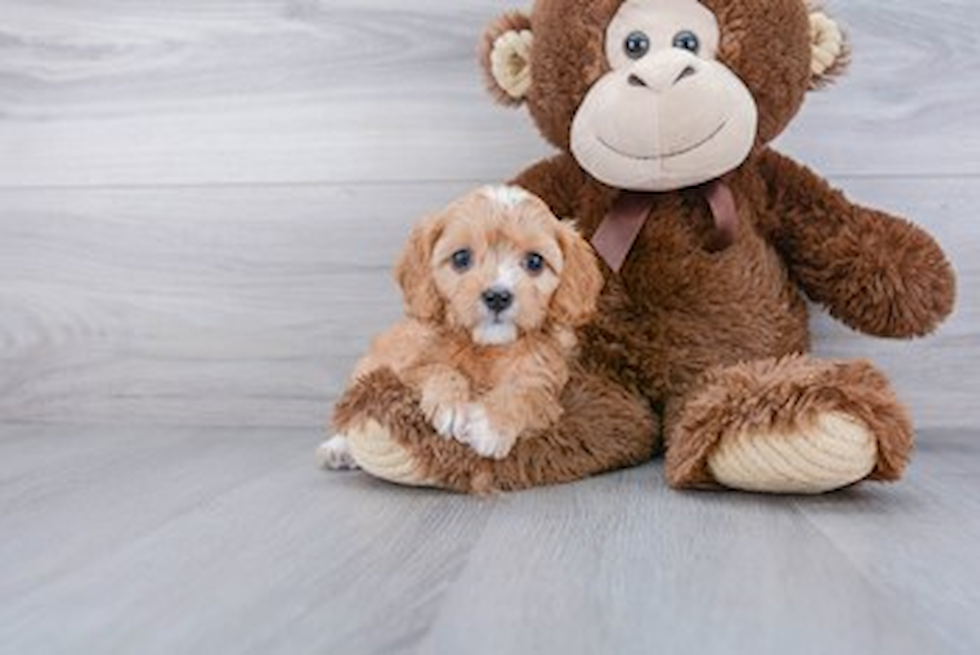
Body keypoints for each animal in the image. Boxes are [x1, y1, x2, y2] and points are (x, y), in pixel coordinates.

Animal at [318, 187, 604, 468]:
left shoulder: (547, 381)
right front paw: (451, 406)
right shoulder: (402, 368)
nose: (497, 296)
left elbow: (526, 393)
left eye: (535, 261)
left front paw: (491, 425)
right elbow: (435, 368)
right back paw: (339, 448)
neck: (484, 347)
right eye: (461, 258)